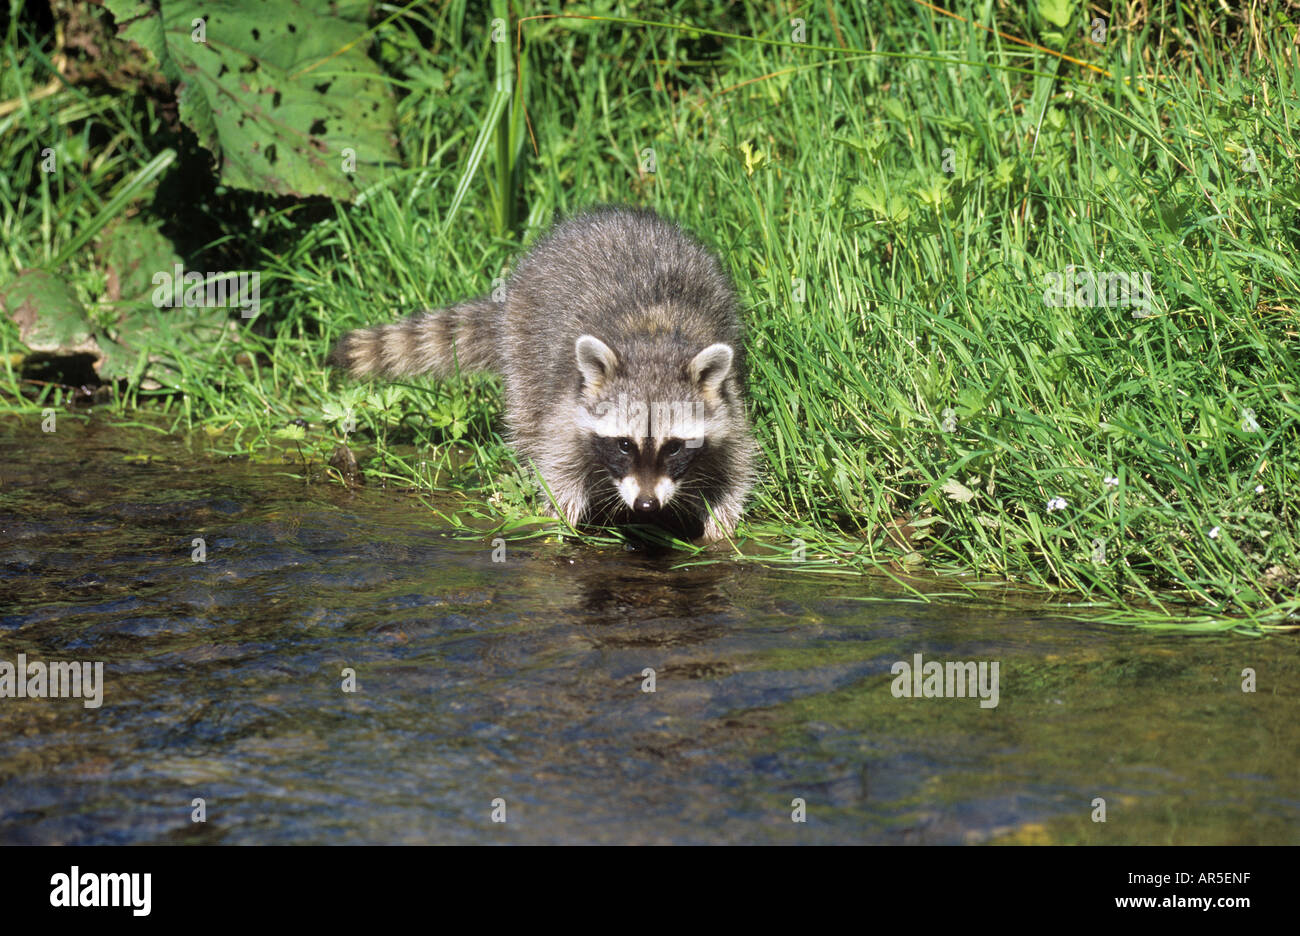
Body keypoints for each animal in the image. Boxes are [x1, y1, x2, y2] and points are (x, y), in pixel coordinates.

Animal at [327, 206, 757, 542]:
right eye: (623, 444)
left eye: (674, 447)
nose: (647, 504)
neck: (654, 339)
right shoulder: (568, 406)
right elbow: (558, 470)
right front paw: (559, 525)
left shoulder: (728, 404)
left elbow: (734, 468)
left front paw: (720, 530)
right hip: (525, 343)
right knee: (527, 416)